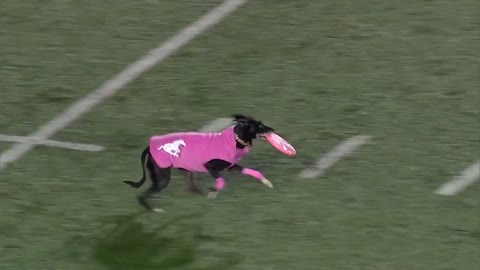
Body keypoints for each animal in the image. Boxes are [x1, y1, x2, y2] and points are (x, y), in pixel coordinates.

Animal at [123, 113, 274, 211]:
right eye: (259, 125)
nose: (272, 129)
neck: (235, 138)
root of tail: (149, 147)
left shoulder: (231, 166)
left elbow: (253, 171)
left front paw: (266, 182)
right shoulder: (210, 166)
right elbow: (222, 182)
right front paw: (212, 191)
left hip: (183, 168)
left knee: (190, 186)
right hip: (162, 178)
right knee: (141, 196)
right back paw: (153, 210)